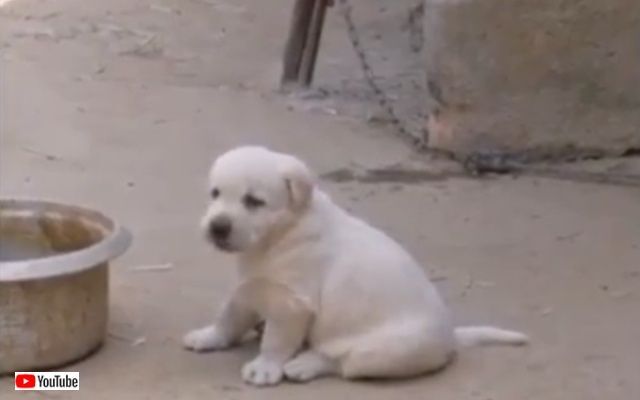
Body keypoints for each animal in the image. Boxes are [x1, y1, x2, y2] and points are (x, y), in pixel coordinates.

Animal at [182, 145, 528, 386]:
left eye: (254, 201)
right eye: (215, 194)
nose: (218, 227)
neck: (278, 236)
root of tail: (452, 338)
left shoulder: (292, 304)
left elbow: (276, 340)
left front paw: (265, 367)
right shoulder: (251, 286)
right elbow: (230, 316)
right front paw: (209, 336)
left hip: (385, 351)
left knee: (341, 362)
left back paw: (304, 364)